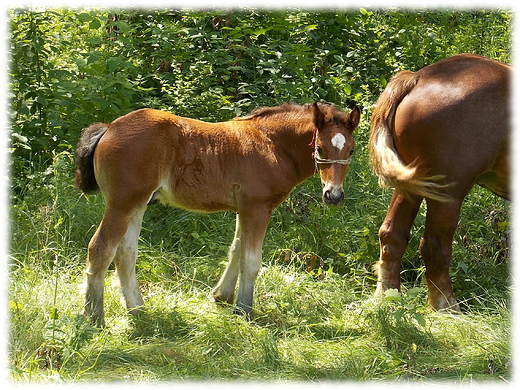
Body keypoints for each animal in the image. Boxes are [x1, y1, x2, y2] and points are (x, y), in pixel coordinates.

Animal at [77, 101, 360, 322]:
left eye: (351, 149)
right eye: (320, 148)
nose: (333, 195)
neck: (272, 145)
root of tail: (109, 127)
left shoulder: (243, 209)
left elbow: (236, 250)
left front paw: (222, 296)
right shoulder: (257, 208)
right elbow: (251, 260)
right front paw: (244, 310)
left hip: (137, 205)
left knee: (125, 253)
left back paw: (137, 310)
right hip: (121, 204)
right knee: (100, 249)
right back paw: (94, 315)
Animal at [368, 54, 510, 310]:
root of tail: (419, 77)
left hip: (410, 187)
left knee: (391, 235)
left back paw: (387, 297)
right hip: (447, 194)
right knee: (434, 248)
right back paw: (446, 307)